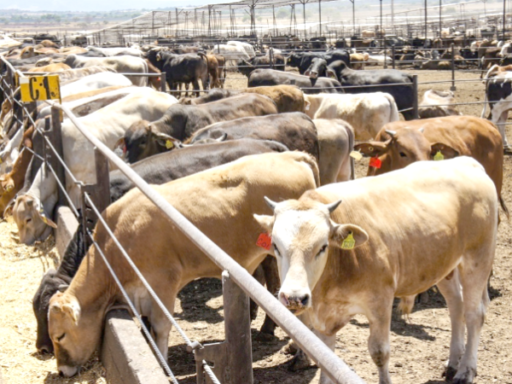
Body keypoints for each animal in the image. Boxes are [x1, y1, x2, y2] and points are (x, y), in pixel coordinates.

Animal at [48, 152, 320, 376]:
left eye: (60, 336)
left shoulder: (163, 282)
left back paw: (301, 358)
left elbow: (160, 327)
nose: (61, 370)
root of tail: (291, 156)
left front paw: (163, 365)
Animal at [254, 157, 498, 384]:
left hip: (478, 259)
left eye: (322, 246)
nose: (294, 297)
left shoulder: (381, 302)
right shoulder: (325, 317)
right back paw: (453, 363)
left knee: (474, 314)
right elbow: (326, 356)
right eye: (275, 245)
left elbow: (379, 353)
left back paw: (466, 370)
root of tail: (466, 161)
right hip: (445, 265)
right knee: (456, 307)